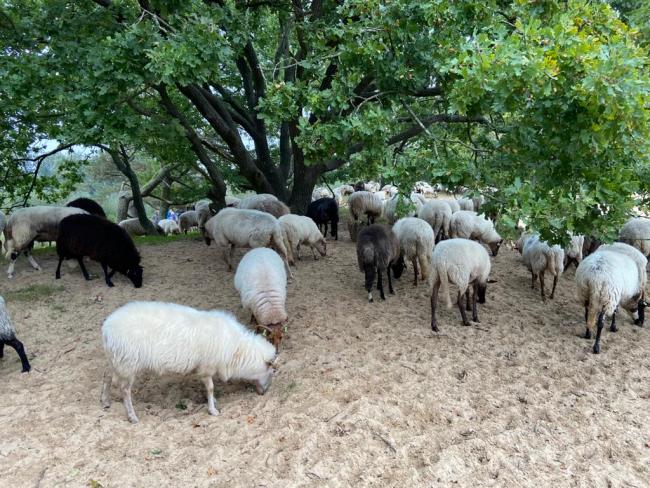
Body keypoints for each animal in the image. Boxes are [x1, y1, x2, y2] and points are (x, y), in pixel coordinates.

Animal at [100, 300, 274, 422]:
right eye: (272, 371)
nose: (264, 393)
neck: (237, 349)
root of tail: (107, 328)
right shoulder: (207, 367)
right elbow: (211, 388)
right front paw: (213, 410)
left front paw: (213, 402)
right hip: (128, 362)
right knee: (124, 390)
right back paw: (132, 416)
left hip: (116, 359)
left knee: (107, 376)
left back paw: (105, 401)